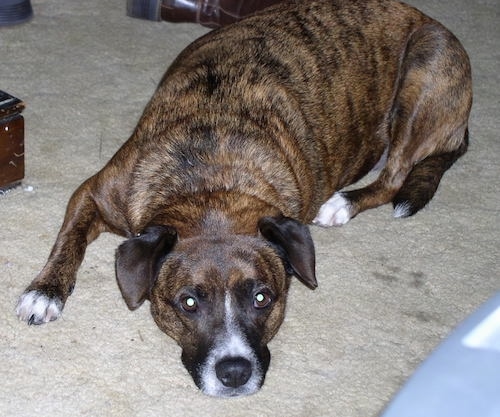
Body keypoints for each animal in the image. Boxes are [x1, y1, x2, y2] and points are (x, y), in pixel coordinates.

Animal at [14, 0, 468, 396]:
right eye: (189, 302)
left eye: (262, 298)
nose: (234, 372)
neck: (210, 181)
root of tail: (424, 17)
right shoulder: (93, 192)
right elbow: (68, 241)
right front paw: (45, 291)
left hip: (424, 68)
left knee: (394, 178)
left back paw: (341, 203)